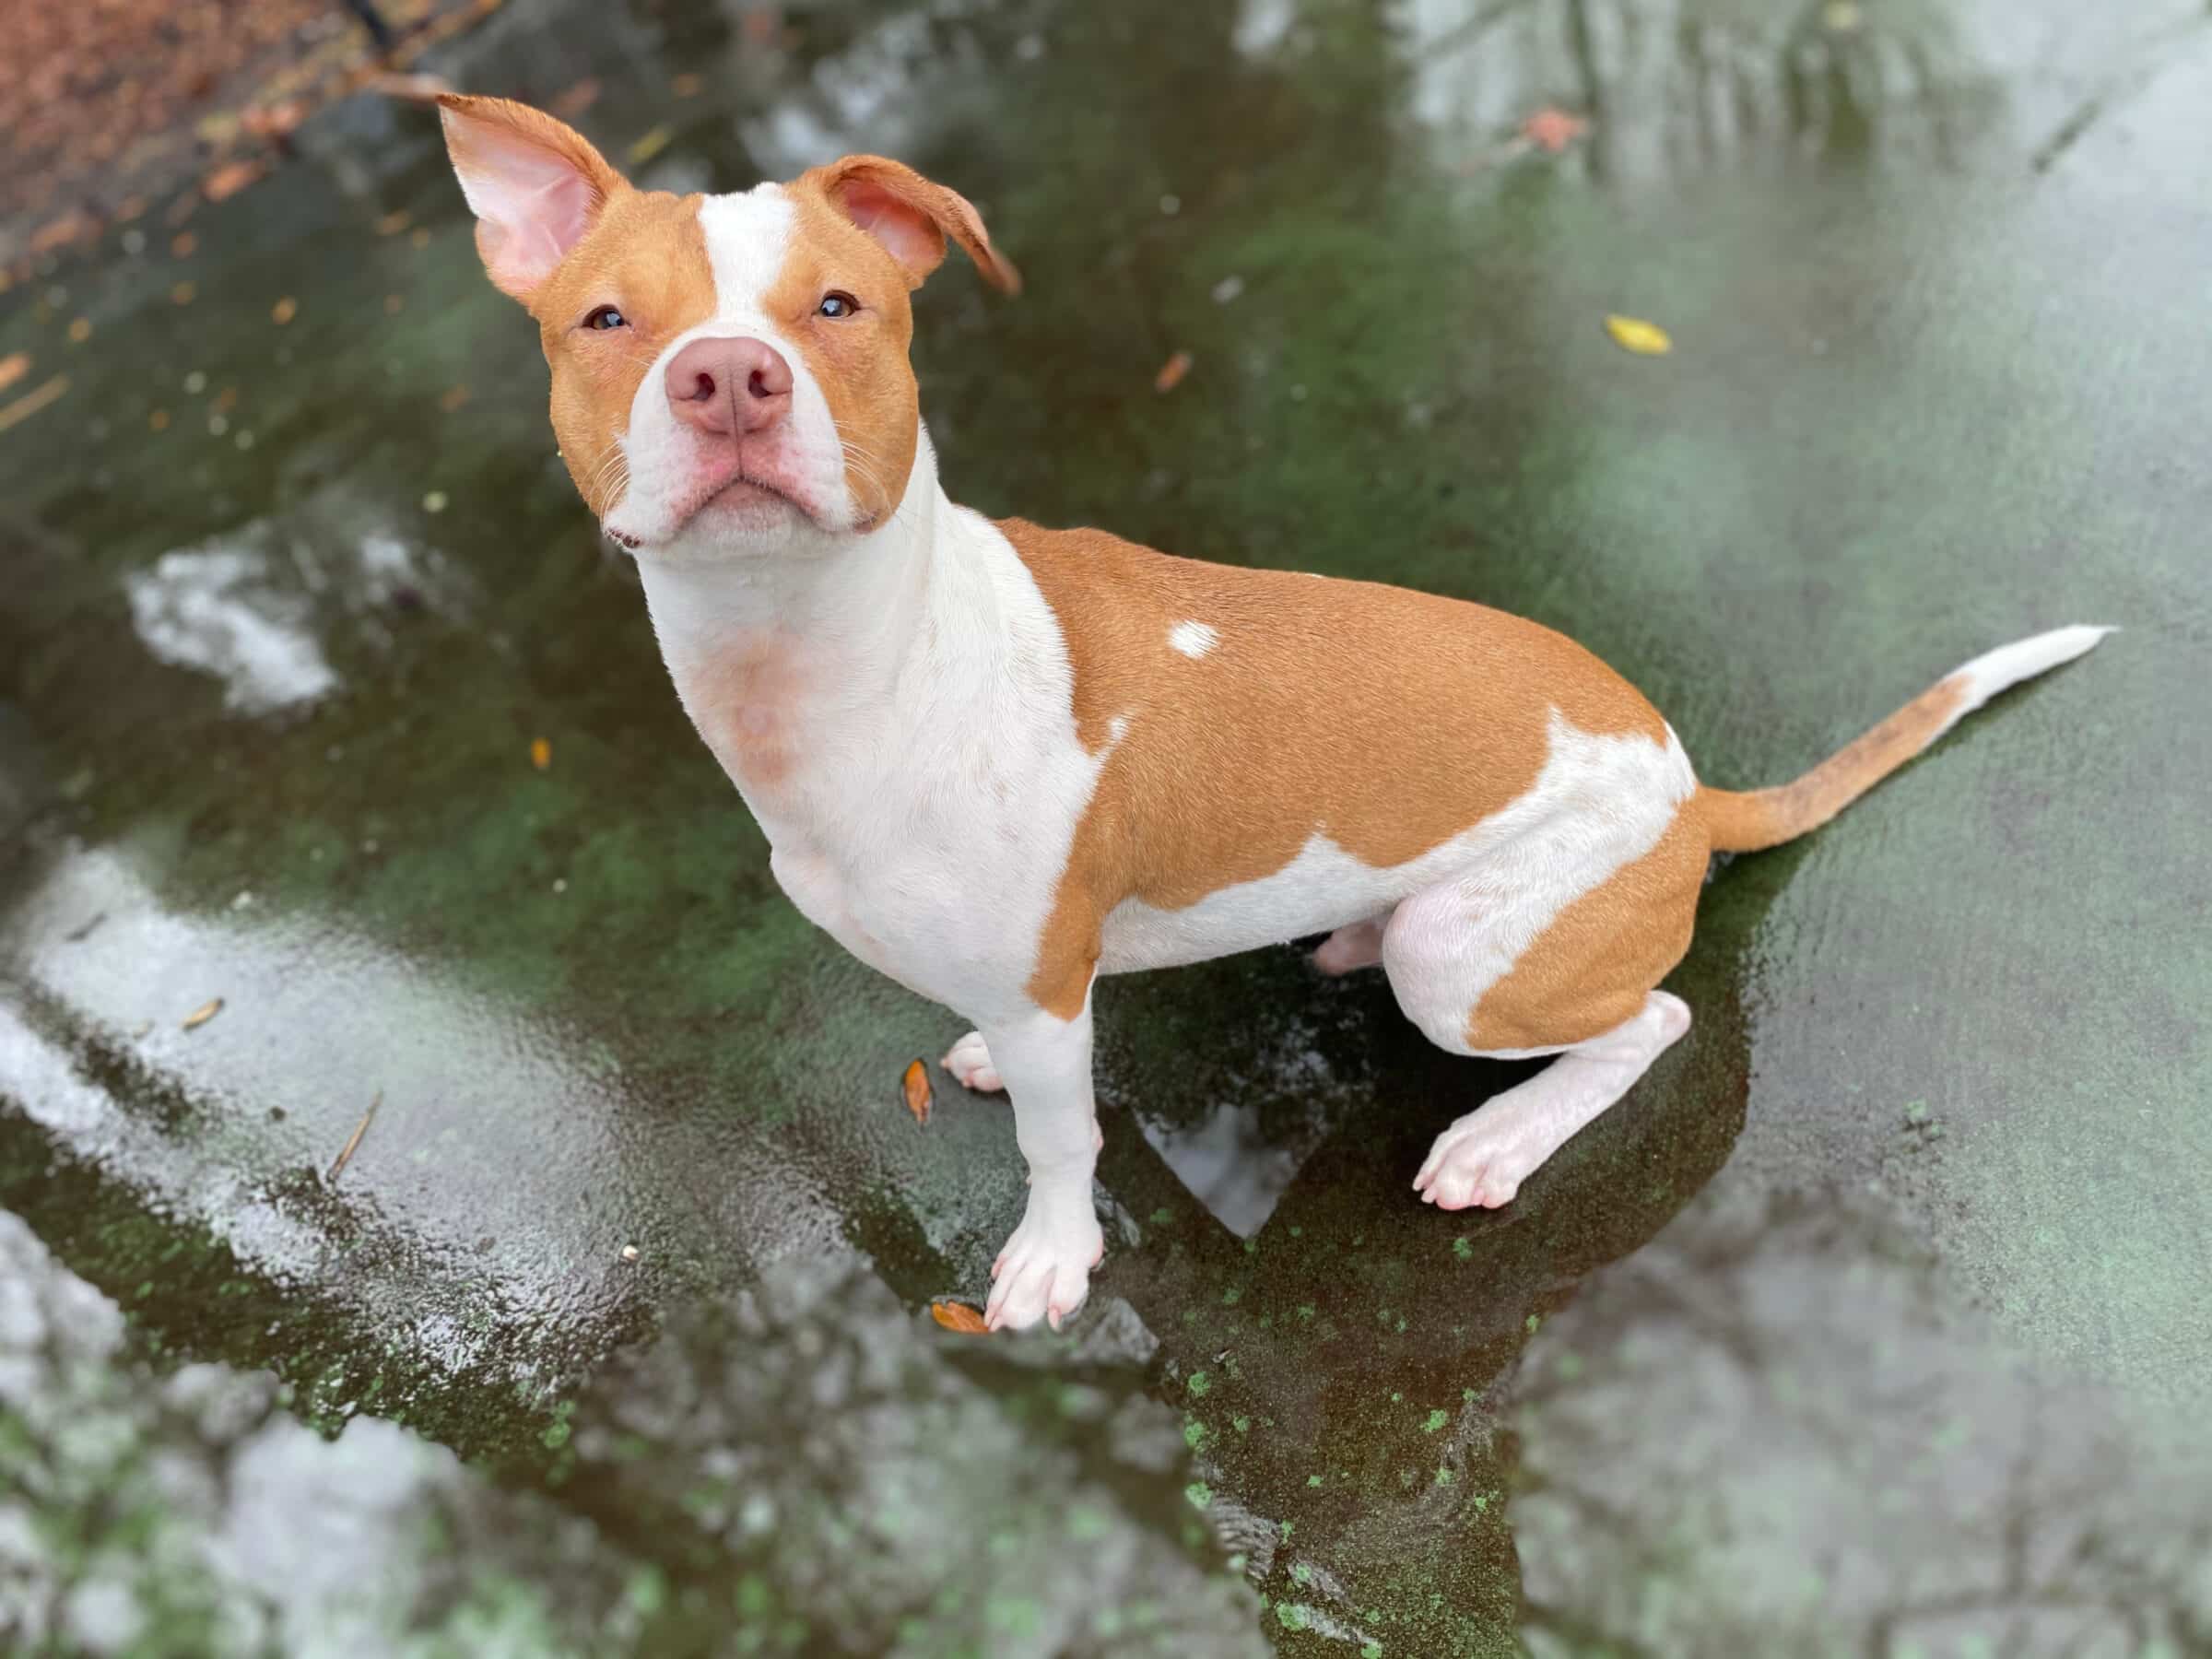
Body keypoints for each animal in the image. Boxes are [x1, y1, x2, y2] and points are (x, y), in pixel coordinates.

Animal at [435, 94, 2105, 1335]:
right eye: (605, 320)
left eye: (838, 305)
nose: (727, 374)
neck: (846, 658)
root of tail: (1691, 790)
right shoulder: (1035, 980)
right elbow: (1036, 1057)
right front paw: (991, 1071)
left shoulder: (1047, 982)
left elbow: (1063, 1140)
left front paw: (1055, 1256)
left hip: (1469, 964)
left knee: (1654, 1018)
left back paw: (1500, 1135)